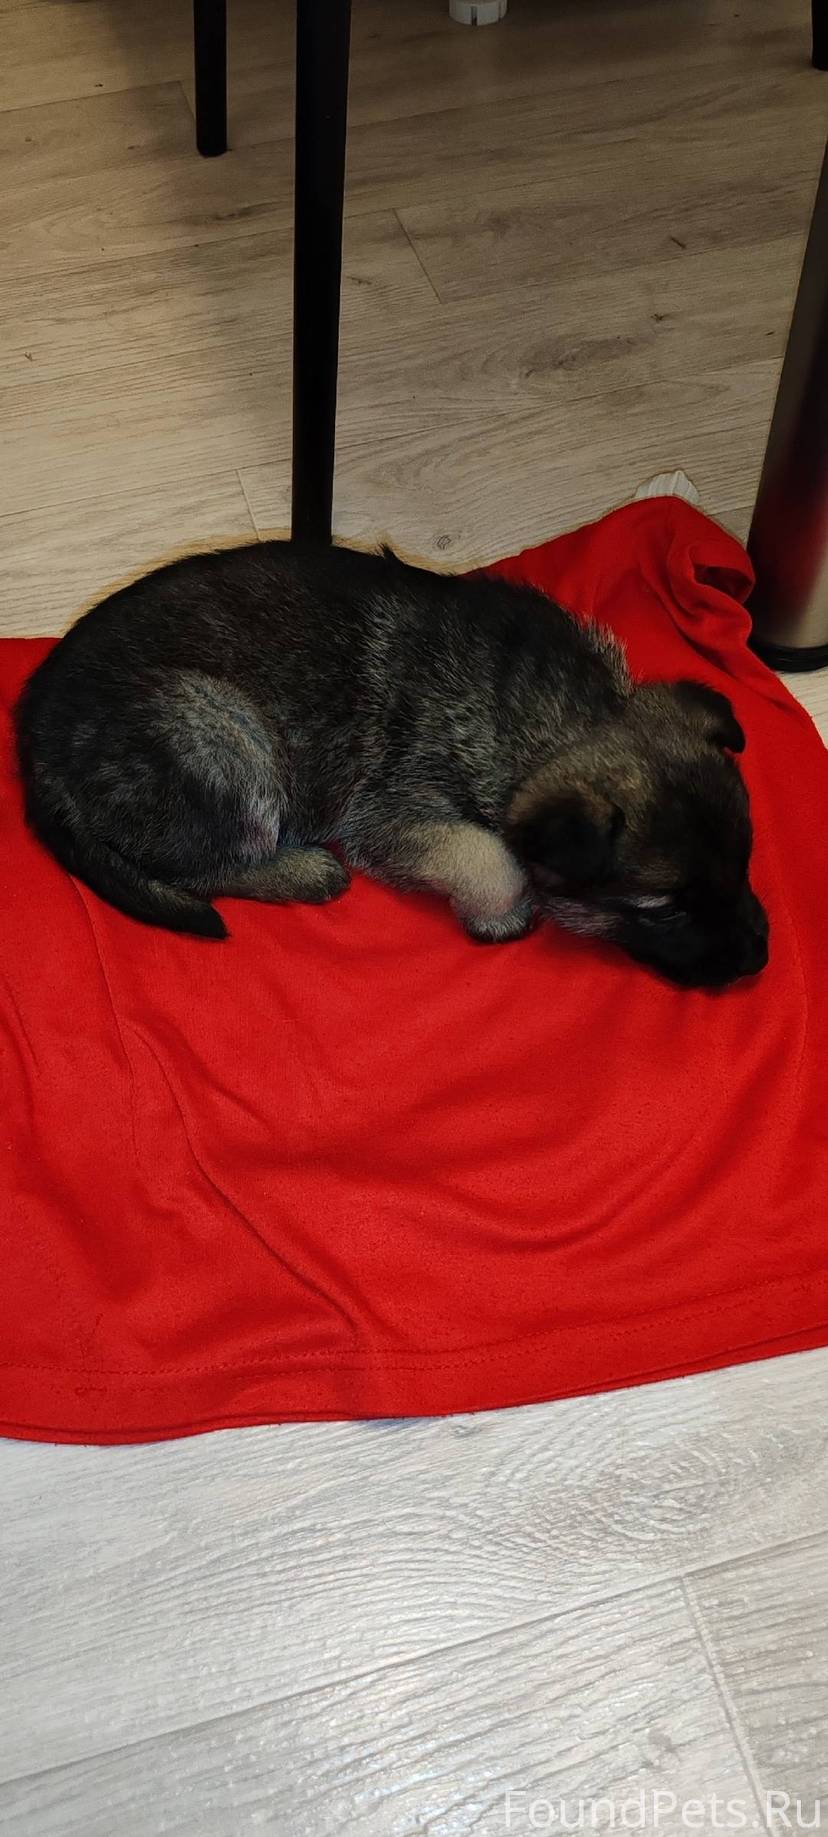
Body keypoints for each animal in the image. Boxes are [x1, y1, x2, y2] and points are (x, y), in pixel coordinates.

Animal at [15, 540, 768, 988]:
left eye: (744, 865)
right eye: (663, 908)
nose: (760, 958)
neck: (555, 717)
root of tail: (33, 751)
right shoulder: (391, 812)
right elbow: (488, 856)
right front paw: (504, 913)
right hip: (221, 731)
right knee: (204, 865)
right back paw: (302, 871)